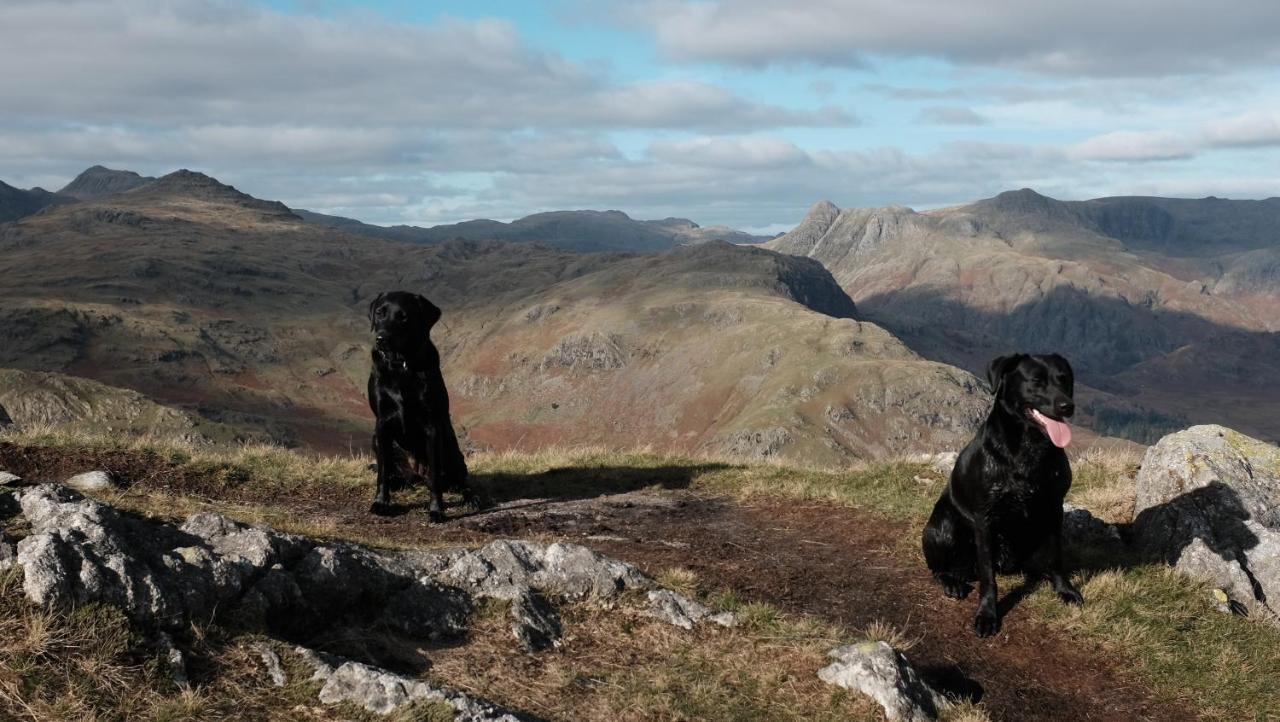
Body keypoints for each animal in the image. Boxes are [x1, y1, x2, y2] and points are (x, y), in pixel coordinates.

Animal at [366, 290, 471, 522]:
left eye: (403, 317)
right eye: (380, 313)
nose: (381, 338)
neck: (401, 365)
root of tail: (416, 474)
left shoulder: (432, 426)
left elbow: (435, 478)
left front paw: (436, 510)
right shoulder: (382, 422)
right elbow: (382, 472)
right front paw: (381, 503)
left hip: (451, 449)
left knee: (459, 478)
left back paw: (472, 497)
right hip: (376, 439)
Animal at [921, 355, 1080, 637]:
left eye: (1064, 379)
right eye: (1036, 381)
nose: (1067, 406)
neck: (1030, 446)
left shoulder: (1054, 509)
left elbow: (1056, 556)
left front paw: (1064, 589)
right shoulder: (985, 519)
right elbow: (988, 578)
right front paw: (987, 614)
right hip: (943, 525)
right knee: (939, 568)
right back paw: (951, 581)